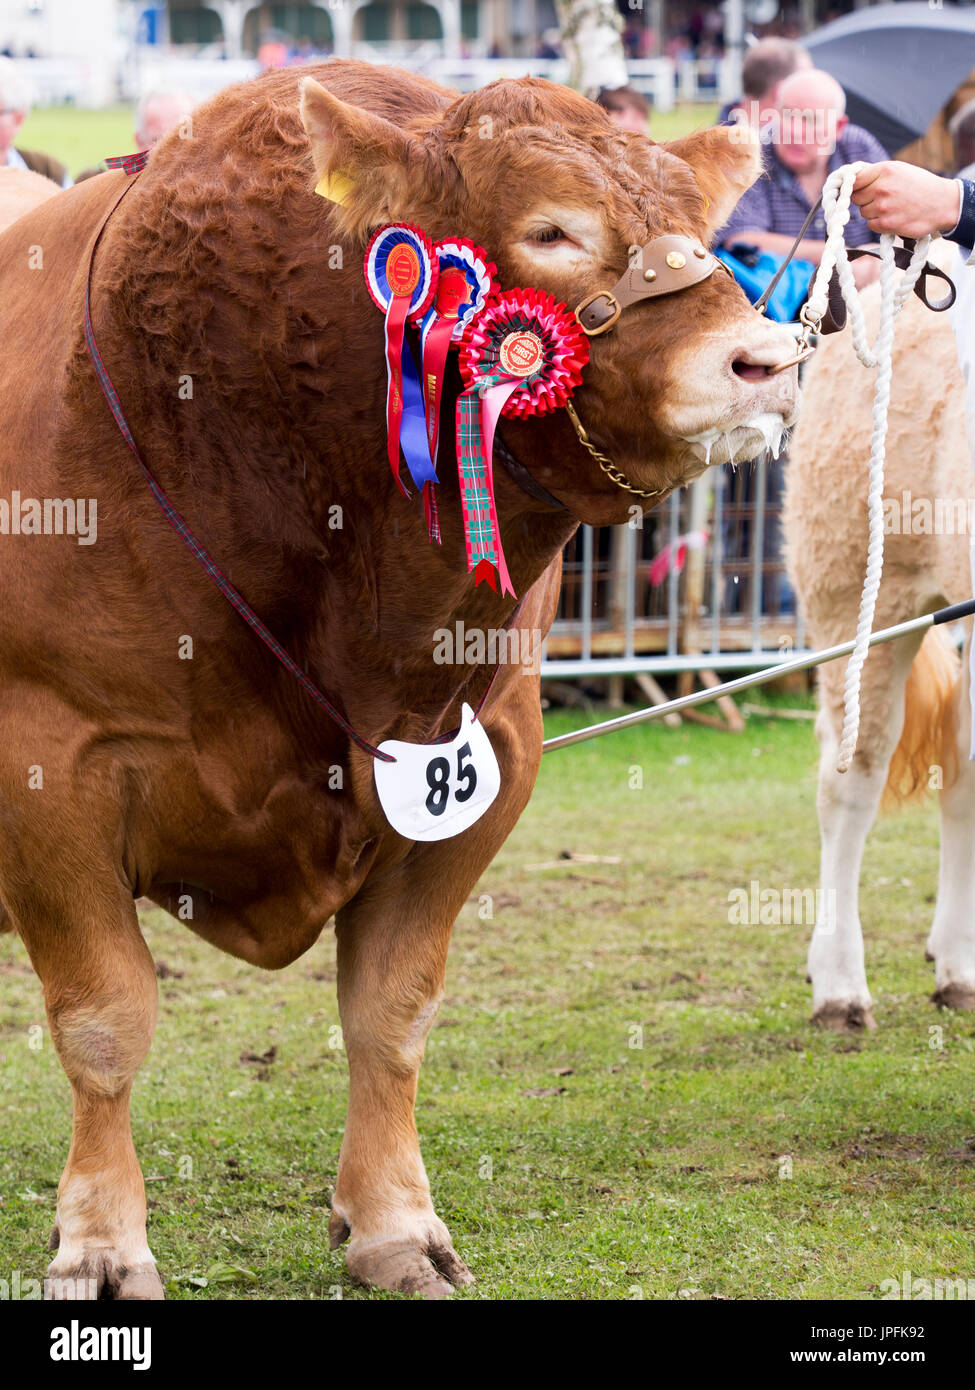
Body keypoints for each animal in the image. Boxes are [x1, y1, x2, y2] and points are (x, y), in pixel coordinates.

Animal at [0, 59, 795, 1295]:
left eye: (697, 227)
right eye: (552, 228)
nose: (765, 360)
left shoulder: (484, 760)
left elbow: (391, 1010)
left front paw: (390, 1224)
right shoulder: (51, 765)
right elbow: (102, 1019)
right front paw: (99, 1243)